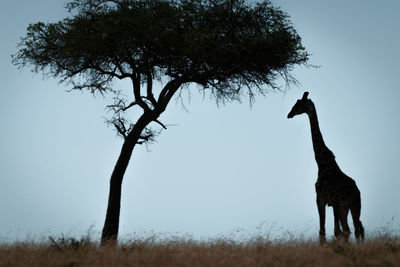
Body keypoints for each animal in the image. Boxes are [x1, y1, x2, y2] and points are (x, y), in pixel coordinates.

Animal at [288, 92, 362, 245]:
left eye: (299, 104)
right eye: (295, 103)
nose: (289, 114)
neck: (322, 165)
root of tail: (357, 188)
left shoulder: (334, 201)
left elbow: (335, 232)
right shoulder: (320, 200)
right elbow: (323, 232)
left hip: (354, 205)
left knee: (356, 229)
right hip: (344, 208)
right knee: (349, 229)